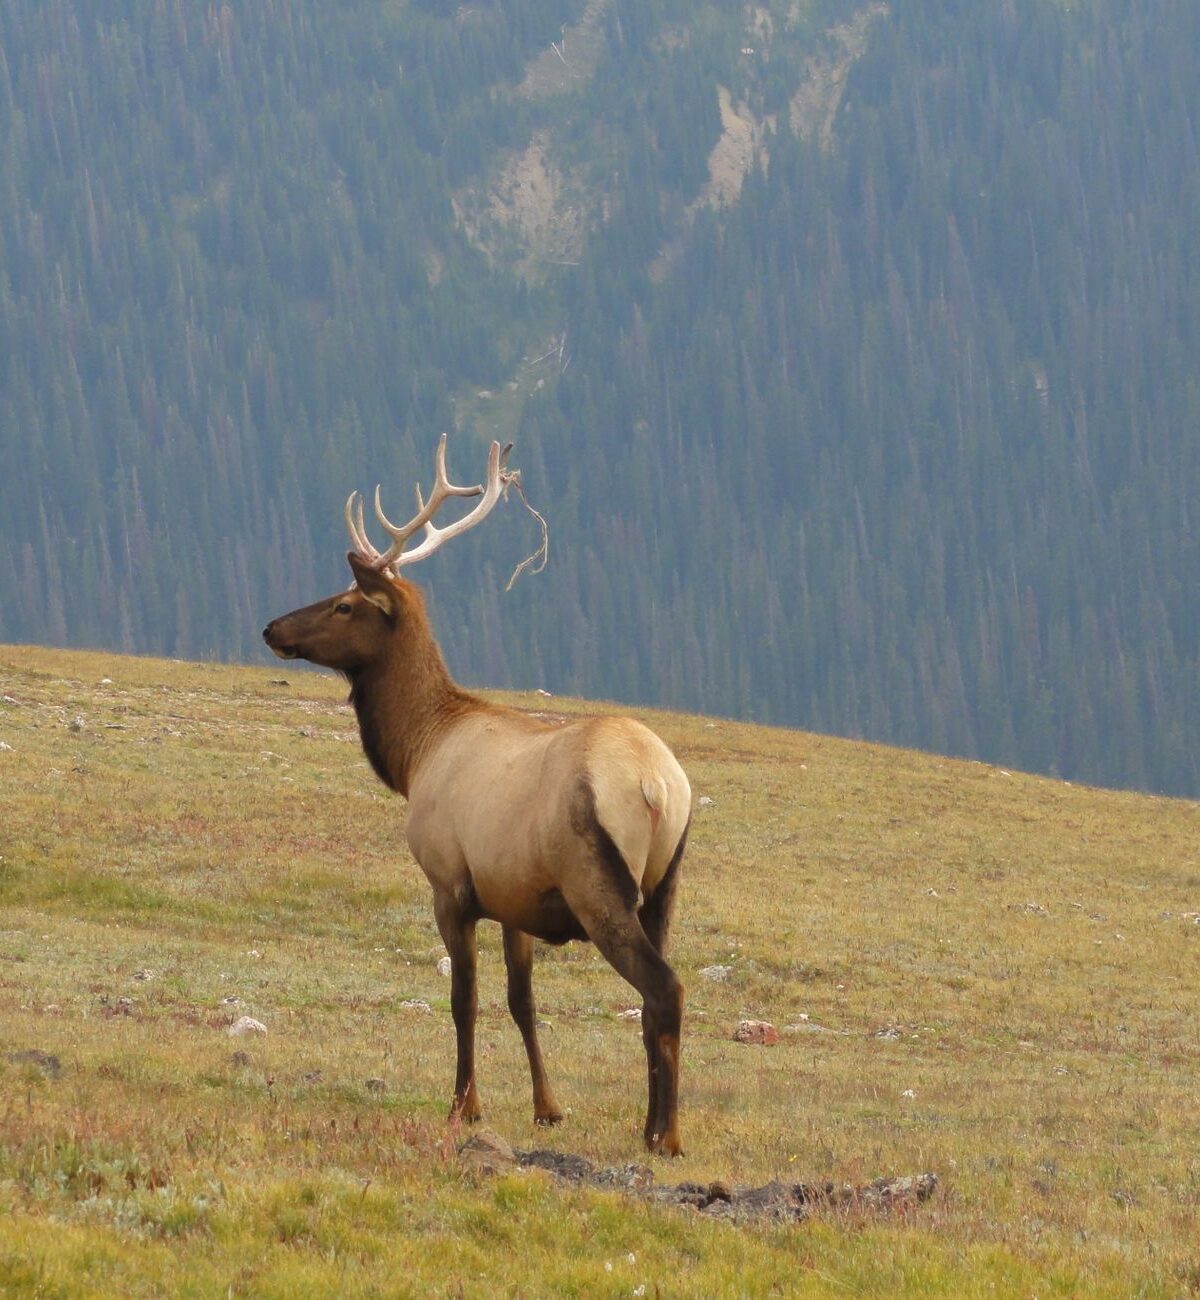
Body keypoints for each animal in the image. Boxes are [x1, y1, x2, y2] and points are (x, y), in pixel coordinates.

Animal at [262, 436, 692, 1155]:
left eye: (346, 603)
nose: (271, 627)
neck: (417, 752)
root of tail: (658, 783)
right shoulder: (514, 897)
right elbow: (522, 1001)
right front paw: (548, 1107)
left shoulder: (450, 883)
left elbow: (463, 999)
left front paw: (463, 1105)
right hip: (665, 884)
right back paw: (662, 1126)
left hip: (598, 884)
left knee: (664, 989)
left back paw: (661, 1134)